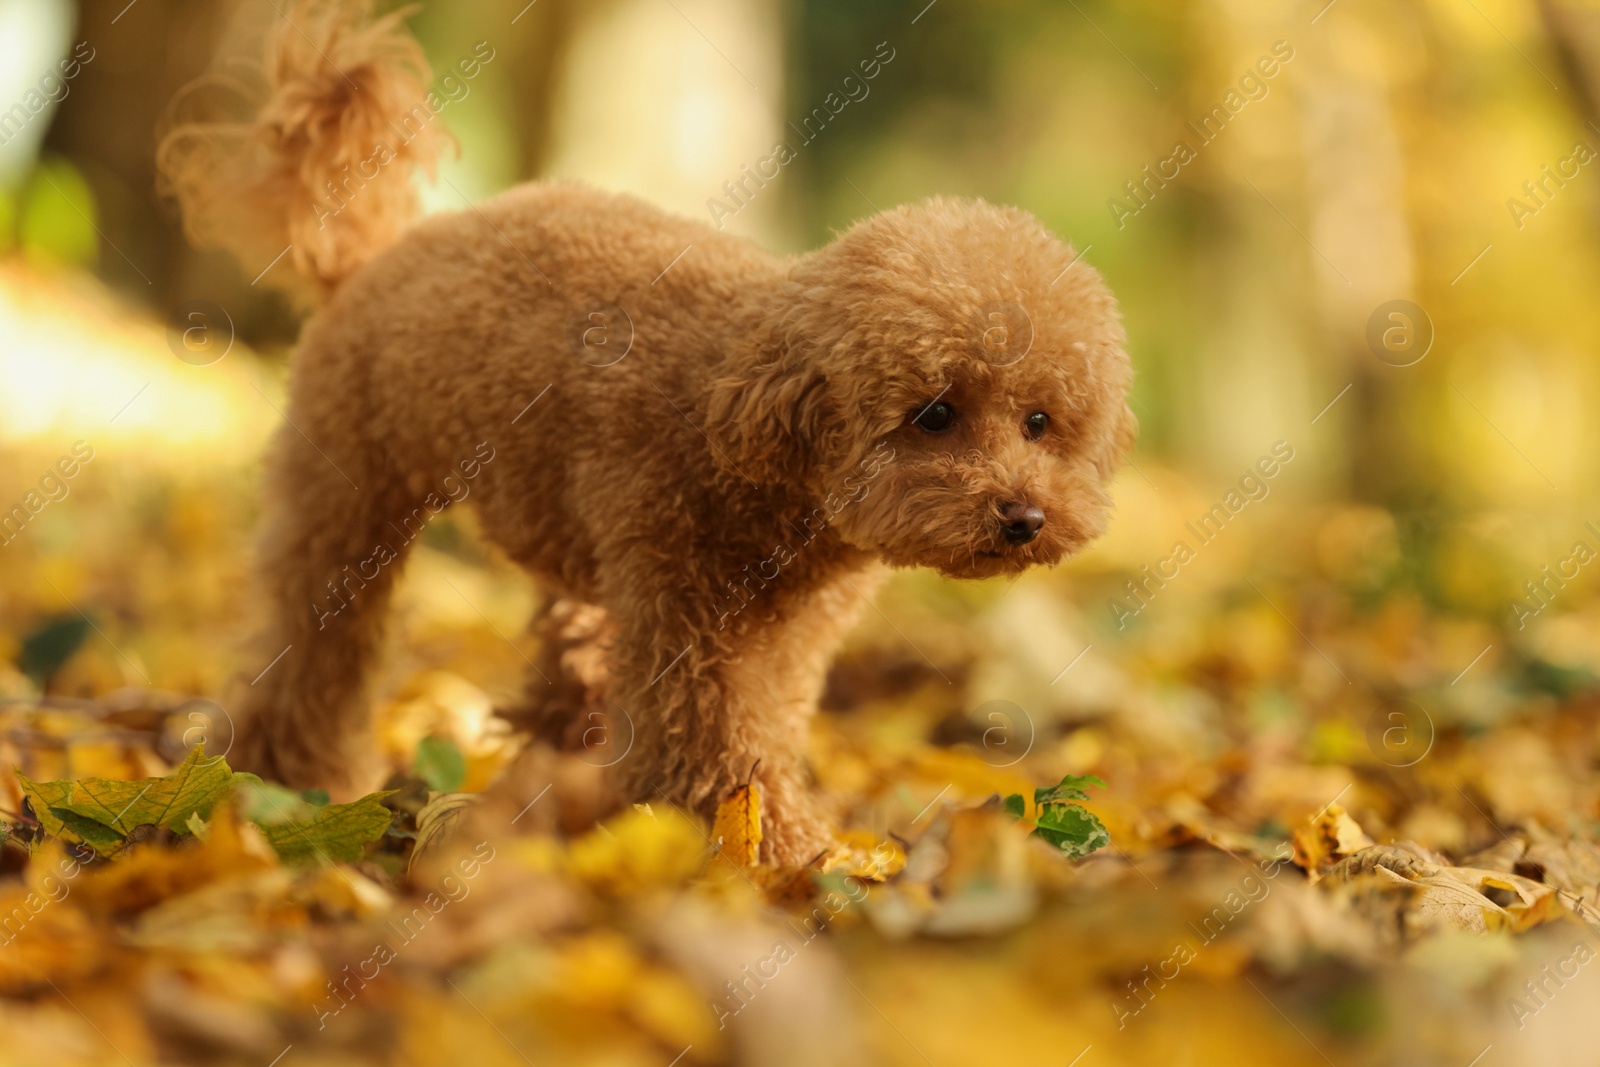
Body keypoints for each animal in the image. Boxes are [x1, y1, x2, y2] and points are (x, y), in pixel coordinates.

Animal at [159, 2, 1139, 870]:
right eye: (935, 413)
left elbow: (758, 726)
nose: (1024, 517)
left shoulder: (783, 637)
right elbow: (720, 750)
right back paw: (289, 774)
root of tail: (372, 256)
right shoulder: (685, 610)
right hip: (347, 495)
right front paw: (782, 857)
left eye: (1040, 422)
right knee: (316, 641)